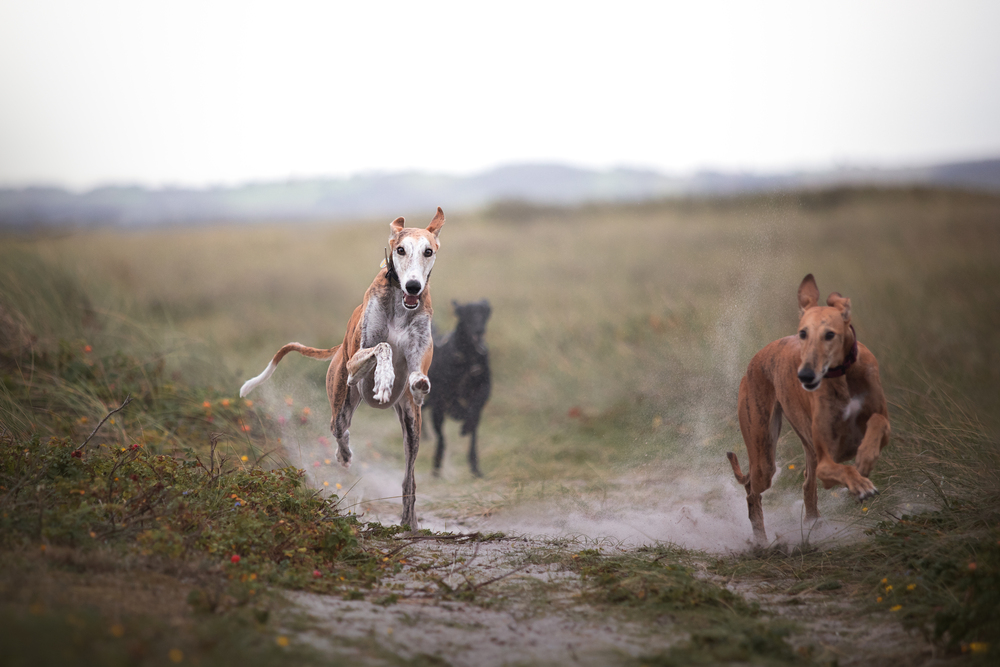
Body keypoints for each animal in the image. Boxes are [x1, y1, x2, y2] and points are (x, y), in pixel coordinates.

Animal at [238, 209, 446, 532]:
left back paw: (409, 522)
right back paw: (344, 454)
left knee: (408, 478)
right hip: (342, 394)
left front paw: (417, 384)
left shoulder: (418, 358)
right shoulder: (355, 362)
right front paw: (384, 378)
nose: (413, 287)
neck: (401, 306)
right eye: (400, 250)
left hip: (412, 424)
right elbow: (383, 347)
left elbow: (416, 375)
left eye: (428, 251)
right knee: (339, 429)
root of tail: (336, 350)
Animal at [426, 300, 492, 478]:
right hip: (437, 413)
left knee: (472, 440)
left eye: (483, 313)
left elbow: (474, 409)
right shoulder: (445, 393)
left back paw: (475, 467)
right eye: (467, 313)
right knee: (441, 439)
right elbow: (457, 406)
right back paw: (436, 466)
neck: (469, 356)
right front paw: (460, 416)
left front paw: (466, 424)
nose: (479, 330)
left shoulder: (484, 388)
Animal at [728, 274, 892, 544]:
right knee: (752, 492)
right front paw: (861, 483)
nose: (804, 375)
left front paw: (866, 458)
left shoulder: (882, 425)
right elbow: (843, 469)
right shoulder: (826, 461)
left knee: (806, 485)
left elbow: (878, 422)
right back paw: (762, 542)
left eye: (830, 334)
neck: (842, 375)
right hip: (764, 457)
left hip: (803, 450)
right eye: (803, 333)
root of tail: (756, 359)